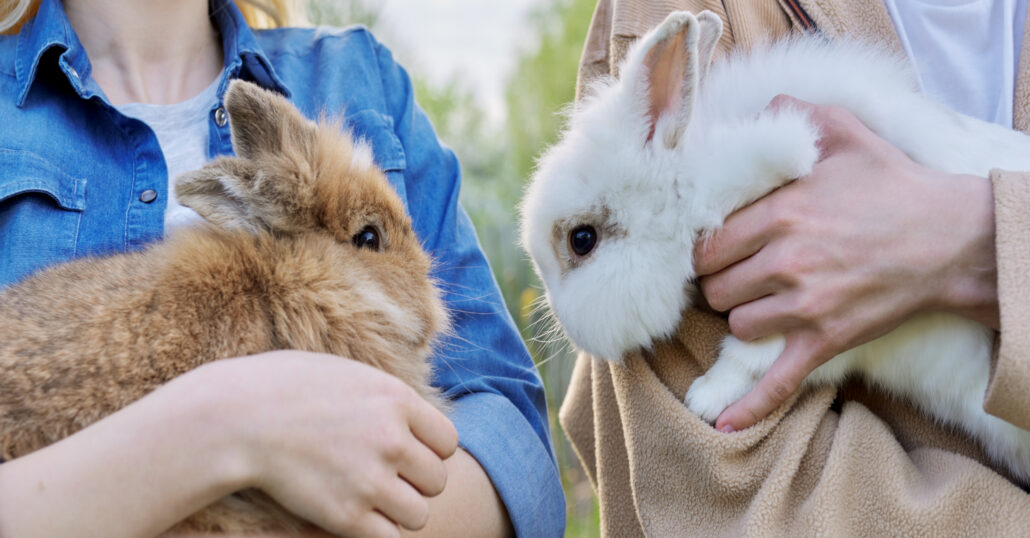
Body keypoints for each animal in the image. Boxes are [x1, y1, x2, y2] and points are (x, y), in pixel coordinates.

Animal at [520, 10, 1030, 483]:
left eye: (581, 240)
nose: (569, 329)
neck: (693, 179)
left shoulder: (817, 324)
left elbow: (752, 353)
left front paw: (704, 398)